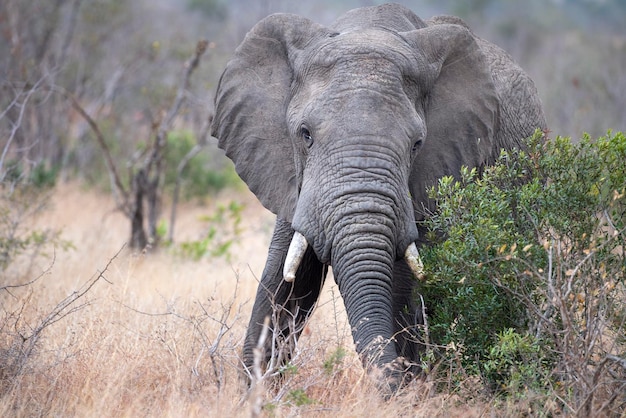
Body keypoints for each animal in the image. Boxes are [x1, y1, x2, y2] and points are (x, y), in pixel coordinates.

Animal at [208, 3, 540, 396]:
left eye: (416, 145)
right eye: (305, 135)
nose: (392, 389)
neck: (368, 28)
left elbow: (401, 284)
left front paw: (409, 392)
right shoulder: (292, 179)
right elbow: (287, 277)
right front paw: (251, 396)